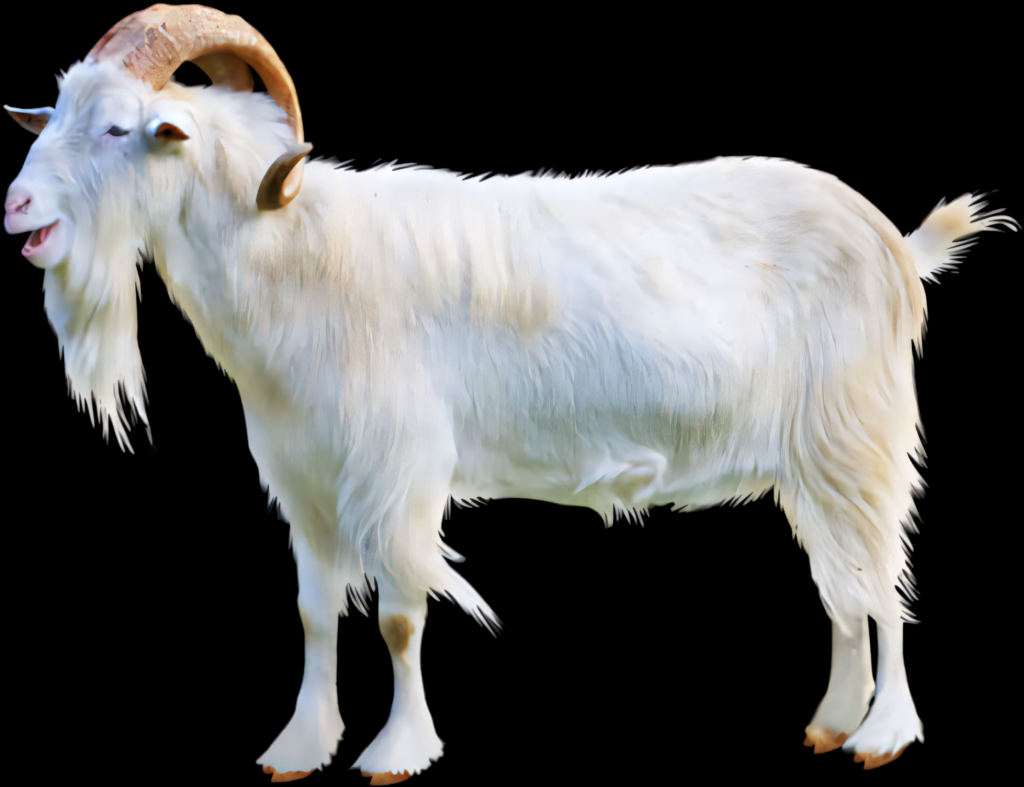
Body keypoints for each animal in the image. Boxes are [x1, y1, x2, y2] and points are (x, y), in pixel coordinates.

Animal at [4, 4, 1018, 782]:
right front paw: (297, 746)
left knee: (881, 579)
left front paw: (396, 752)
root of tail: (895, 243)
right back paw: (833, 722)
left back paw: (883, 733)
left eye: (119, 128)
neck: (296, 248)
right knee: (842, 586)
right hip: (810, 463)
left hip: (859, 436)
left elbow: (402, 615)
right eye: (50, 114)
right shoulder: (307, 480)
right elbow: (315, 613)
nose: (17, 209)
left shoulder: (398, 471)